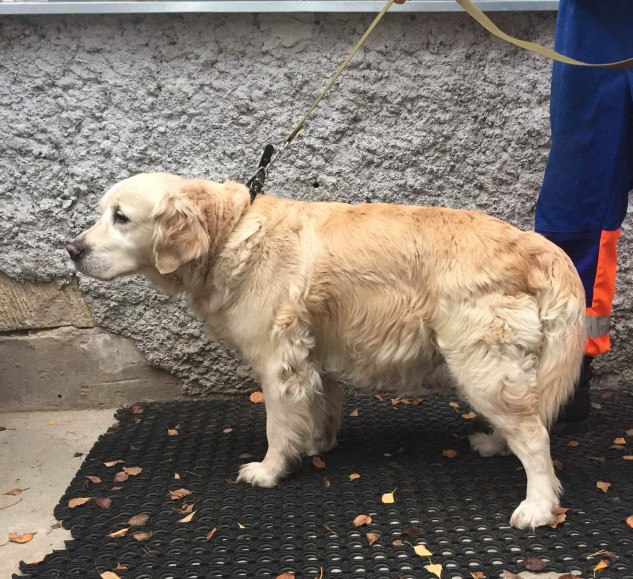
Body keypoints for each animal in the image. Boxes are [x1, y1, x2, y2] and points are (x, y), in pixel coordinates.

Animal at [66, 173, 585, 529]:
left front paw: (269, 471)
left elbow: (277, 425)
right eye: (102, 212)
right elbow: (320, 408)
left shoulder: (277, 360)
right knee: (526, 419)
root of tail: (533, 244)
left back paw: (537, 507)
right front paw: (315, 445)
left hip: (480, 362)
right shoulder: (315, 354)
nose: (71, 249)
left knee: (535, 436)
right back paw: (494, 444)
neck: (229, 233)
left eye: (121, 217)